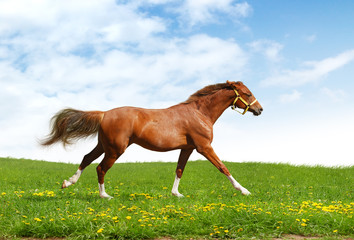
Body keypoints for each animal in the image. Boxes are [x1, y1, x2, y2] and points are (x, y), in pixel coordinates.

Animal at [41, 80, 262, 199]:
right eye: (247, 93)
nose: (260, 109)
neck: (200, 113)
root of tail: (104, 114)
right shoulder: (204, 147)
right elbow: (223, 167)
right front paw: (244, 191)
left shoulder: (188, 148)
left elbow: (179, 170)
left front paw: (176, 194)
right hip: (115, 149)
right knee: (100, 168)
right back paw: (104, 195)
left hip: (104, 145)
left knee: (87, 158)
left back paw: (67, 183)